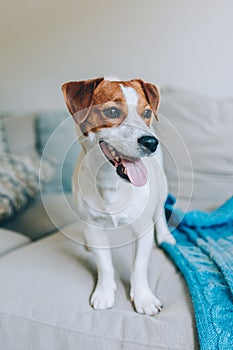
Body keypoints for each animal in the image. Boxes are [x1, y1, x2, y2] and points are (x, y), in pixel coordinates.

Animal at [62, 77, 175, 318]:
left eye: (147, 113)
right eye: (112, 111)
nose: (151, 142)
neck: (111, 183)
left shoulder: (143, 228)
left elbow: (139, 266)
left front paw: (143, 298)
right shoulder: (94, 227)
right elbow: (104, 264)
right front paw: (104, 293)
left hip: (162, 186)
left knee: (160, 212)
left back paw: (165, 236)